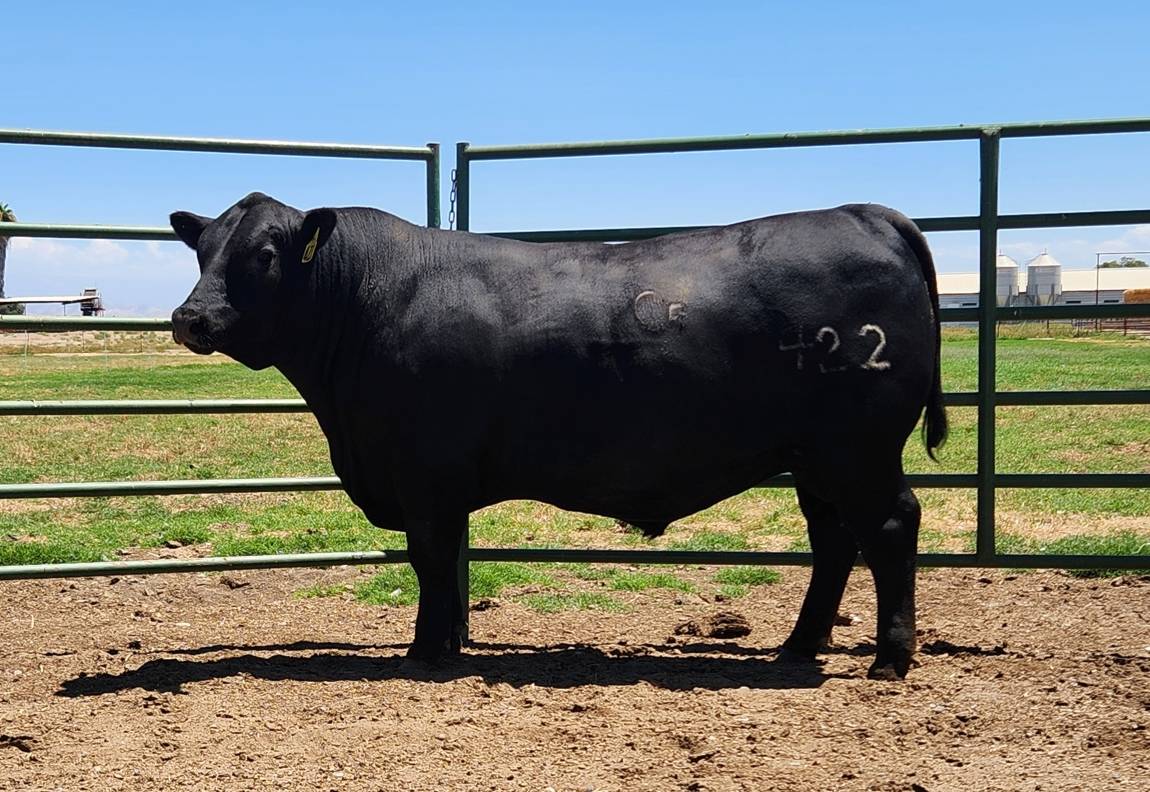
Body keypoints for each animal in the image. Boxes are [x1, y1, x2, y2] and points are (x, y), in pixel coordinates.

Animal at [170, 192, 947, 680]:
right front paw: (446, 642)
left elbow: (429, 559)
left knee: (888, 527)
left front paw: (426, 651)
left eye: (265, 252)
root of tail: (863, 214)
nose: (189, 317)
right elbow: (442, 560)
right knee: (834, 540)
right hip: (815, 459)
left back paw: (889, 658)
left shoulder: (424, 473)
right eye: (203, 250)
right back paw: (799, 643)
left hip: (858, 450)